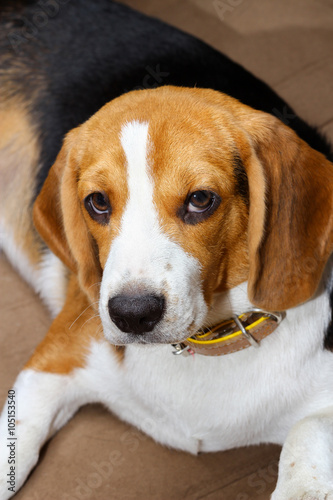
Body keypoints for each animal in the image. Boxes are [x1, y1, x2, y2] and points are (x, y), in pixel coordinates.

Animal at [0, 0, 332, 500]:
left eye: (201, 200)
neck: (205, 347)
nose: (132, 315)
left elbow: (307, 436)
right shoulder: (49, 367)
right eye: (97, 203)